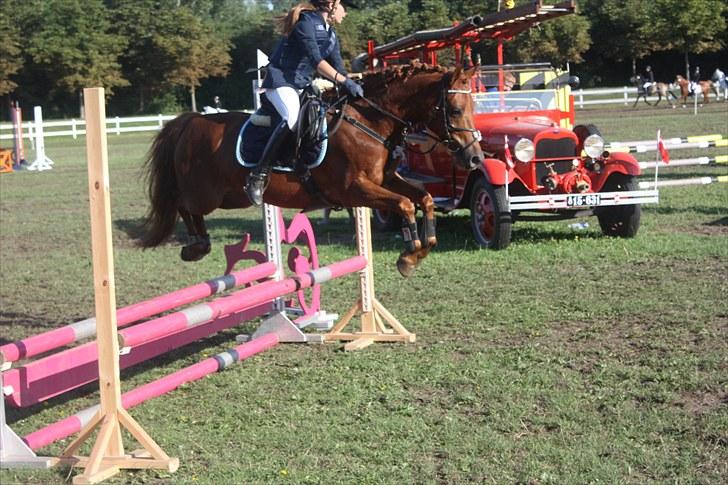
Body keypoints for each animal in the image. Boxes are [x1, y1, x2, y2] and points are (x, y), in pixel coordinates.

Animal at [139, 63, 484, 278]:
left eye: (474, 107)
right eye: (455, 110)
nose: (475, 159)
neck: (371, 121)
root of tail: (191, 121)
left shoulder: (384, 180)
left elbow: (423, 198)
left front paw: (422, 249)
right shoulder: (354, 189)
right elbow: (404, 204)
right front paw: (409, 254)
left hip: (228, 197)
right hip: (208, 195)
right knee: (182, 204)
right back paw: (196, 247)